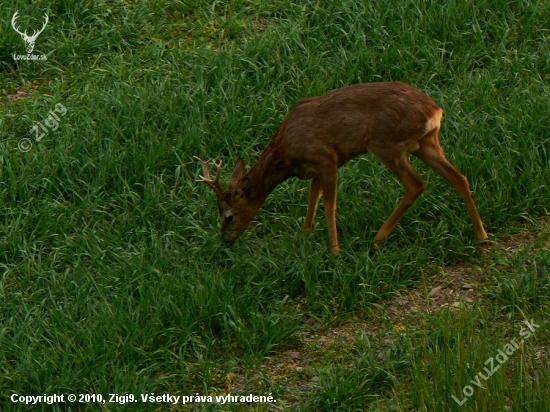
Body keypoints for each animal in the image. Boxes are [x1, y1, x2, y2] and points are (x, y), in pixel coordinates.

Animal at [196, 81, 490, 254]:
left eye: (228, 216)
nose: (226, 240)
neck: (285, 153)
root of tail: (434, 111)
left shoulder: (326, 159)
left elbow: (329, 204)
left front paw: (334, 251)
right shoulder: (315, 168)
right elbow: (312, 197)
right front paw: (305, 236)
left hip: (388, 144)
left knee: (416, 184)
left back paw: (377, 240)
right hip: (425, 143)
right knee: (459, 178)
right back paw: (481, 236)